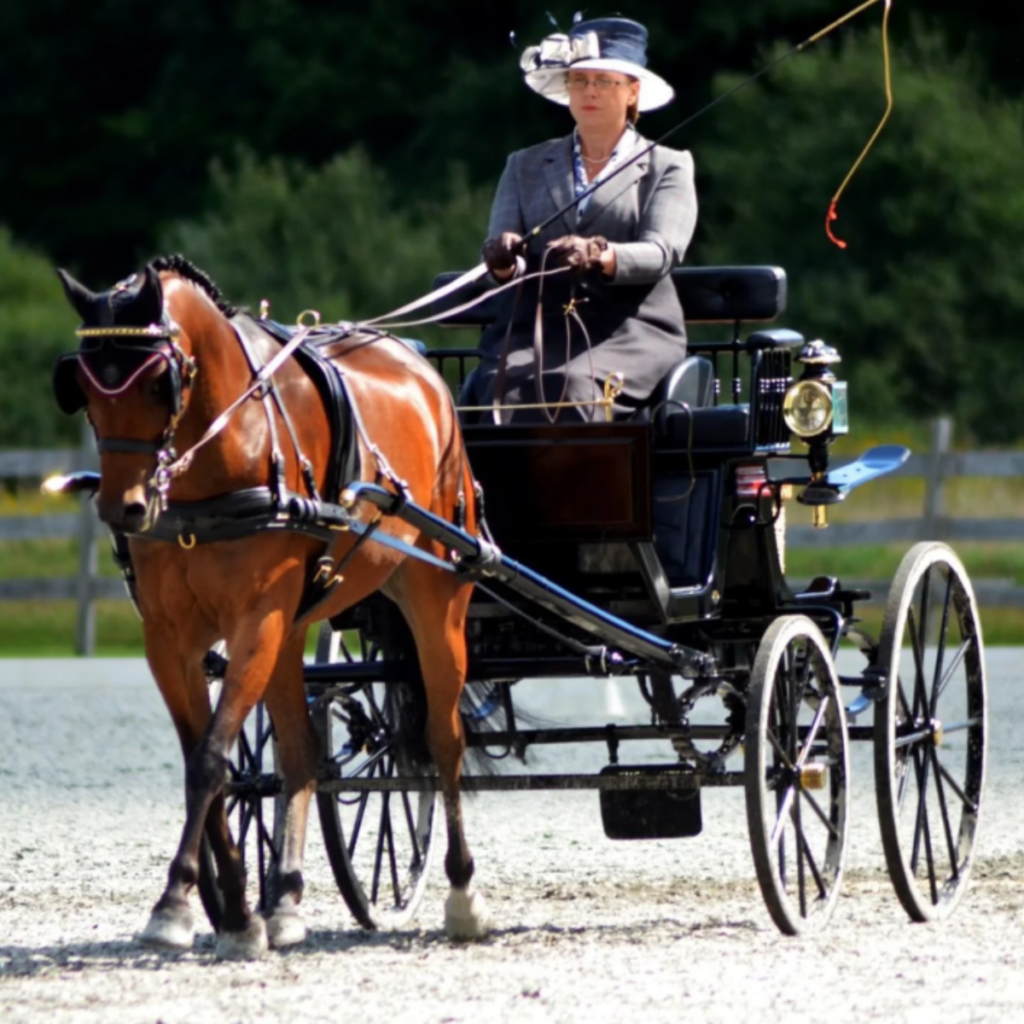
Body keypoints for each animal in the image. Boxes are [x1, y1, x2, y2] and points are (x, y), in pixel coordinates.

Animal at [52, 256, 490, 958]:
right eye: (86, 392)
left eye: (158, 386)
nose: (125, 509)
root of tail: (421, 370)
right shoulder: (171, 639)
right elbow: (214, 762)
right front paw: (232, 909)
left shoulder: (255, 621)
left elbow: (210, 759)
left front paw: (177, 903)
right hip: (291, 630)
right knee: (300, 752)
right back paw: (282, 898)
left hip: (437, 597)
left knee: (443, 739)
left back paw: (462, 894)